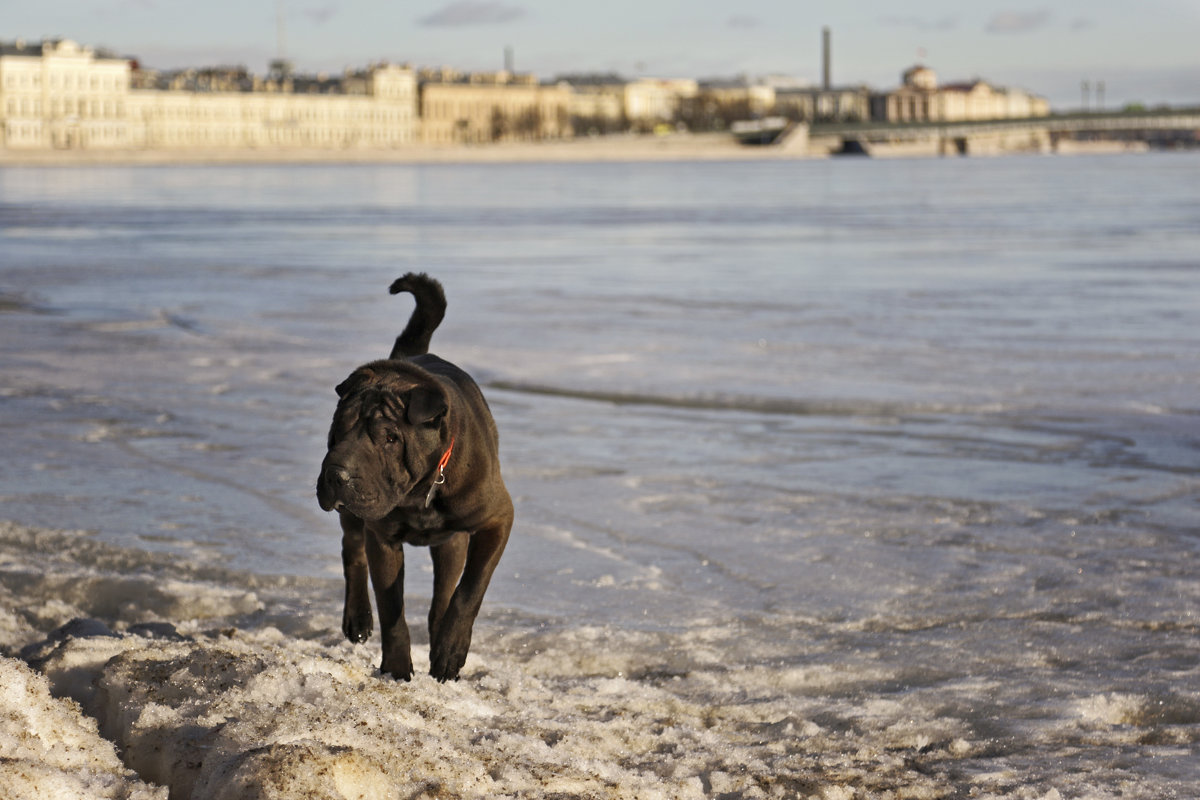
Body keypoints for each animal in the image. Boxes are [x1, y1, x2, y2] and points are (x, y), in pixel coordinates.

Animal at [319, 275, 511, 681]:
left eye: (390, 438)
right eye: (338, 427)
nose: (337, 474)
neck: (420, 489)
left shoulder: (498, 518)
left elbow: (470, 588)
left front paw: (450, 651)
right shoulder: (382, 538)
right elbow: (392, 607)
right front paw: (395, 667)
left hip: (451, 543)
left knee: (445, 592)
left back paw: (440, 639)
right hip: (354, 518)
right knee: (351, 549)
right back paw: (358, 618)